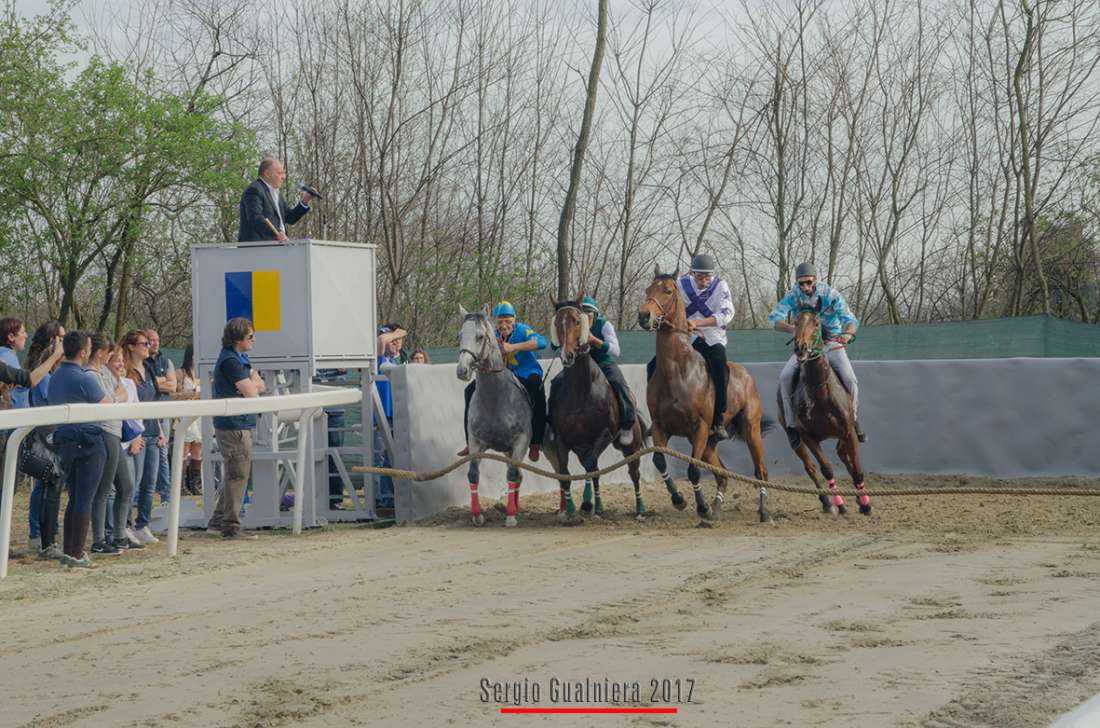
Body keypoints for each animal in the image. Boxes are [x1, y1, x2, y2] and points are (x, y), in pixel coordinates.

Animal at [455, 305, 532, 527]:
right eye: (460, 335)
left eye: (480, 336)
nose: (462, 370)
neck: (495, 398)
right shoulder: (476, 442)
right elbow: (473, 474)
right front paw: (477, 515)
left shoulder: (520, 440)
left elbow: (512, 473)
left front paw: (511, 516)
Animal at [541, 299, 642, 521]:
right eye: (557, 322)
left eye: (578, 321)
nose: (567, 355)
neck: (581, 393)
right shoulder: (561, 438)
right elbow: (566, 473)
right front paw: (571, 510)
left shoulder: (604, 433)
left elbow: (590, 467)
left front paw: (593, 506)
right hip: (582, 446)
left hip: (630, 445)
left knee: (633, 472)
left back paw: (640, 510)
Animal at [638, 269, 774, 525]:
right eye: (648, 290)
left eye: (667, 291)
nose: (644, 315)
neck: (677, 371)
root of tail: (746, 375)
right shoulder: (661, 427)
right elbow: (660, 461)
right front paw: (679, 500)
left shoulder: (699, 428)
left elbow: (693, 470)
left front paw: (701, 507)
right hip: (709, 444)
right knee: (722, 475)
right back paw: (716, 510)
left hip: (750, 430)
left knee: (760, 471)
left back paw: (764, 512)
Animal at [778, 305, 871, 516]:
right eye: (795, 321)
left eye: (816, 323)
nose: (801, 347)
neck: (820, 394)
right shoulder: (808, 436)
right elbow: (826, 468)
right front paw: (840, 503)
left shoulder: (848, 432)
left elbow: (858, 469)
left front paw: (865, 503)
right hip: (794, 438)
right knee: (810, 467)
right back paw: (827, 502)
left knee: (844, 456)